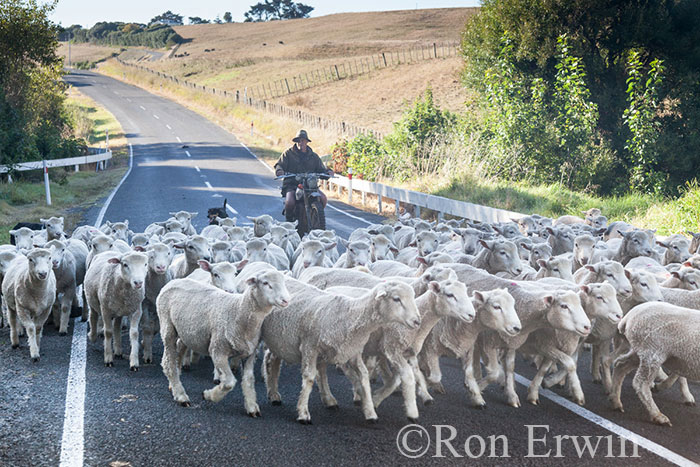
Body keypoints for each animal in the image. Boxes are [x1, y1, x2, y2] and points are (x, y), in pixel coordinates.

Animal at [260, 280, 418, 426]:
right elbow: (309, 378)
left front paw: (370, 412)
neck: (349, 316)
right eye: (396, 299)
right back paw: (273, 394)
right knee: (269, 358)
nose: (417, 321)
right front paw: (303, 413)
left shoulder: (353, 352)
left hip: (280, 340)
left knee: (275, 359)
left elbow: (364, 377)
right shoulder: (309, 347)